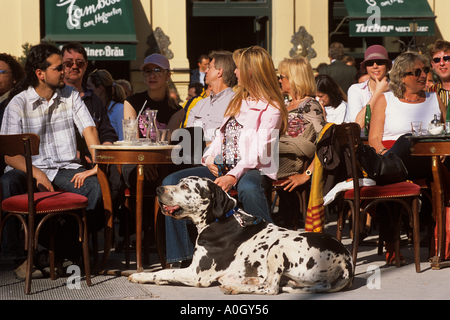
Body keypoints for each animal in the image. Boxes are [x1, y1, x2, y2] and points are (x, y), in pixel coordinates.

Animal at [128, 176, 354, 294]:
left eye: (185, 186)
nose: (158, 189)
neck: (220, 219)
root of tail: (346, 262)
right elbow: (166, 272)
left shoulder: (196, 274)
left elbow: (164, 272)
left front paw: (140, 275)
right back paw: (245, 281)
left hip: (278, 246)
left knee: (271, 287)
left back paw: (233, 286)